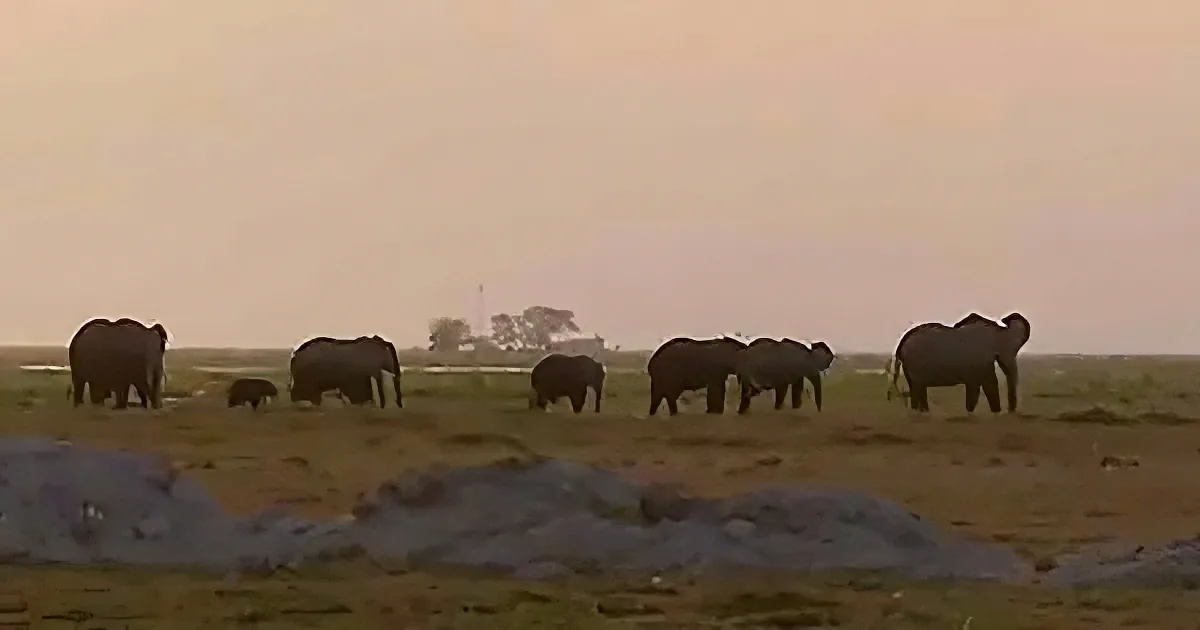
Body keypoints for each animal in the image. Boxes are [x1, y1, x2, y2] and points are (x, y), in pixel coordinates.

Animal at [887, 312, 1031, 413]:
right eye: (1009, 350)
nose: (1011, 411)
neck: (998, 330)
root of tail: (901, 343)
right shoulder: (980, 358)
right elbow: (987, 383)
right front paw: (994, 412)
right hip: (915, 363)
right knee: (918, 388)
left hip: (910, 365)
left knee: (916, 389)